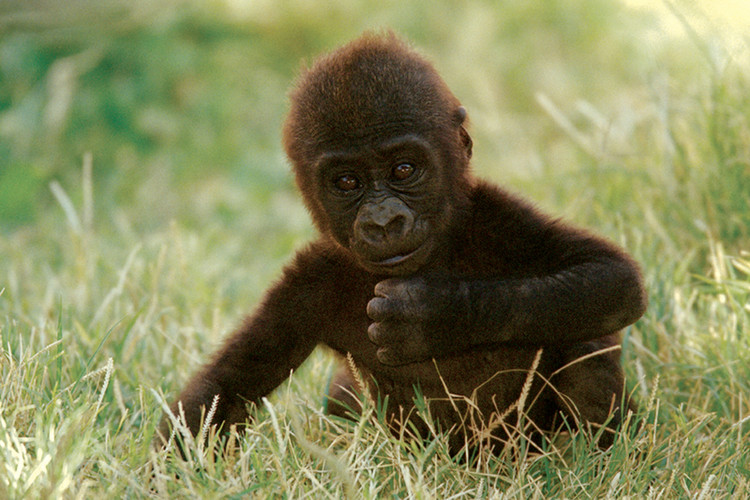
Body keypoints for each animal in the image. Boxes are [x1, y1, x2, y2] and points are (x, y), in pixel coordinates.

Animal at [157, 32, 646, 455]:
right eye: (347, 181)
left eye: (404, 170)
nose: (383, 222)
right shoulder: (309, 281)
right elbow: (226, 387)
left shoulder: (499, 217)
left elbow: (611, 278)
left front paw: (437, 314)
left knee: (588, 338)